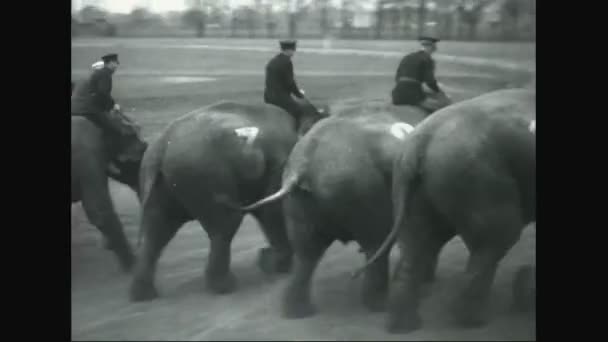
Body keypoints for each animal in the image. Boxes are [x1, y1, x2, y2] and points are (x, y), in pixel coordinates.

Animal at [129, 99, 328, 302]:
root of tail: (160, 148)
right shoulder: (281, 164)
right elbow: (272, 211)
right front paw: (274, 265)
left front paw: (269, 262)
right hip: (205, 177)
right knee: (224, 226)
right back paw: (225, 286)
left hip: (165, 184)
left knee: (156, 232)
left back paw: (143, 295)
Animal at [238, 102, 428, 318]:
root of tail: (302, 165)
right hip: (362, 191)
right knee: (375, 244)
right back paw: (380, 306)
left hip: (301, 202)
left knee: (306, 253)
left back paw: (298, 312)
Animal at [358, 87, 536, 332]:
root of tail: (420, 143)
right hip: (472, 175)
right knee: (497, 237)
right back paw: (472, 320)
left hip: (416, 187)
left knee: (418, 244)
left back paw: (405, 326)